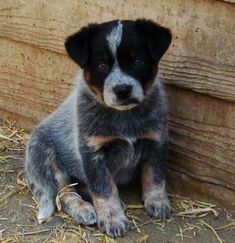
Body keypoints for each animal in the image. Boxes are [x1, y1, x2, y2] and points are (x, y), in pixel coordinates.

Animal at [24, 19, 173, 237]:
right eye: (101, 65)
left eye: (138, 61)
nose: (122, 90)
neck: (125, 117)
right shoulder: (92, 152)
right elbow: (103, 189)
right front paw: (112, 219)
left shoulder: (156, 141)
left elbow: (155, 176)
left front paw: (158, 201)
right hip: (46, 157)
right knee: (65, 193)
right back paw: (84, 210)